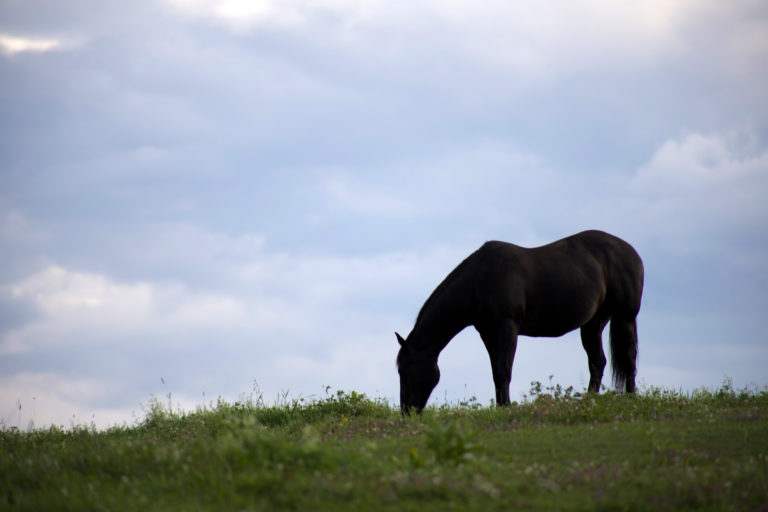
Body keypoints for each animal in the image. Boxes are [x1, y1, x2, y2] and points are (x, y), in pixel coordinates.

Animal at [396, 230, 640, 414]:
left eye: (405, 371)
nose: (406, 411)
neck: (479, 279)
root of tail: (632, 252)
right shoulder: (488, 333)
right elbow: (496, 371)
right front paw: (501, 406)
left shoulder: (507, 328)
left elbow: (505, 369)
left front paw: (506, 407)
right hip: (593, 323)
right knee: (598, 361)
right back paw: (590, 400)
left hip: (625, 318)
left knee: (628, 358)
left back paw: (631, 398)